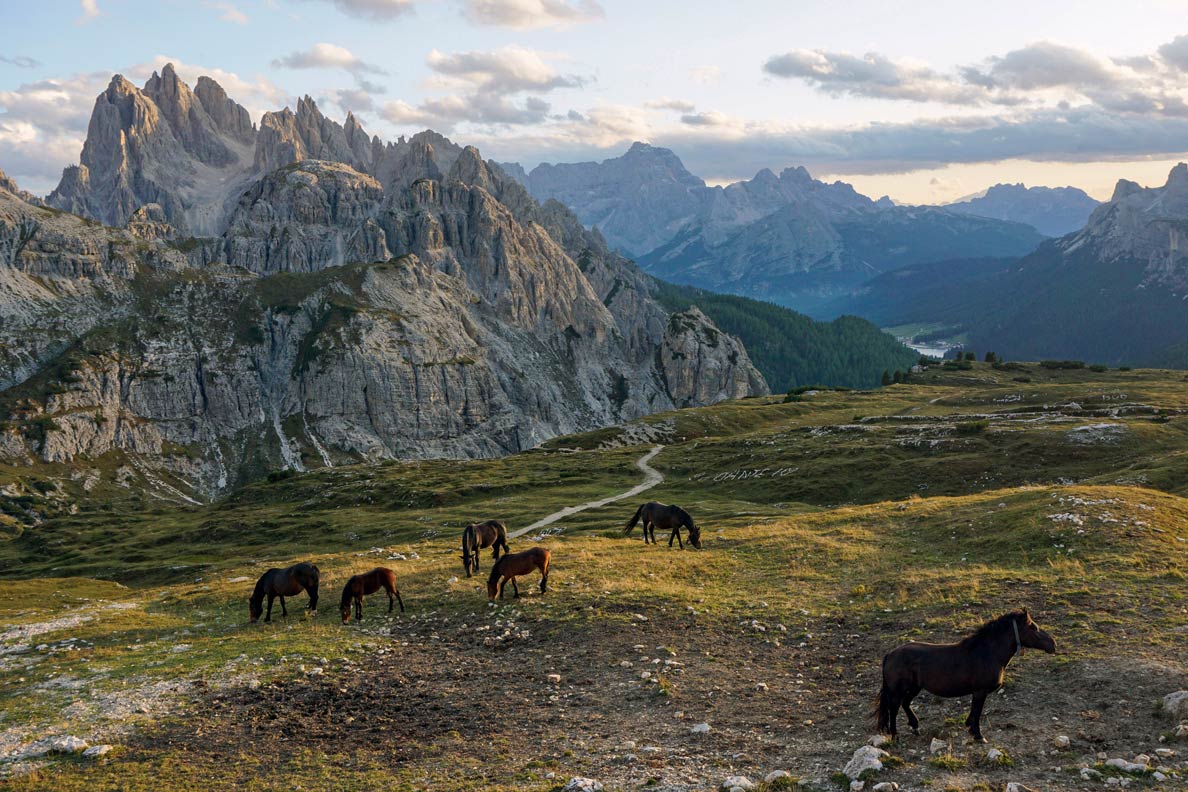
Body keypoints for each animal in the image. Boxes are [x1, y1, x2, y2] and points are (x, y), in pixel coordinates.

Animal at [874, 612, 1059, 745]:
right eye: (1033, 627)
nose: (1053, 644)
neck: (986, 653)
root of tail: (890, 654)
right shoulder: (980, 691)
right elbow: (977, 712)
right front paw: (978, 735)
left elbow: (973, 712)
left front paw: (971, 728)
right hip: (897, 690)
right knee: (894, 709)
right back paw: (895, 736)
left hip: (914, 687)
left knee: (905, 704)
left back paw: (915, 727)